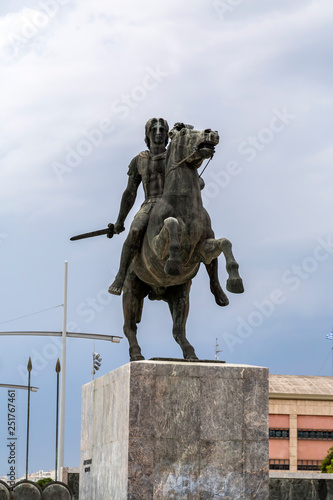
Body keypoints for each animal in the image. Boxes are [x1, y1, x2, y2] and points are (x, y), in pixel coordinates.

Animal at [122, 123, 241, 362]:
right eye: (184, 131)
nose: (211, 132)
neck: (185, 205)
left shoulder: (201, 250)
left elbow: (225, 243)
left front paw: (234, 281)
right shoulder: (157, 248)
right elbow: (171, 223)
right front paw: (174, 263)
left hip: (180, 295)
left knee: (178, 329)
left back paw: (191, 354)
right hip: (131, 290)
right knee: (129, 327)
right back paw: (136, 354)